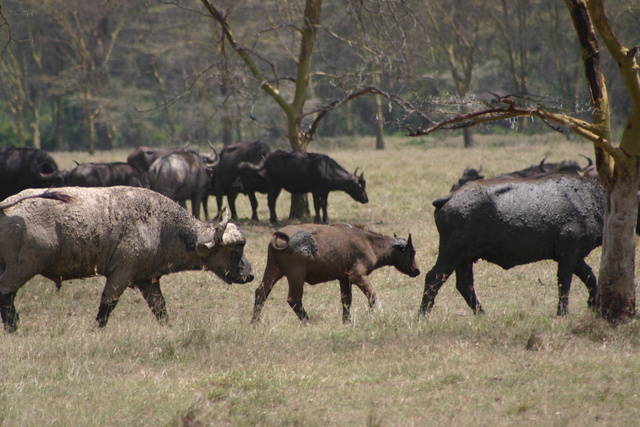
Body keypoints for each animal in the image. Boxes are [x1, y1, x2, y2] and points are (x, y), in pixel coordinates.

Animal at [0, 188, 255, 334]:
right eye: (235, 251)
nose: (250, 275)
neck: (162, 226)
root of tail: (7, 206)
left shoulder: (148, 280)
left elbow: (160, 308)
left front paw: (169, 329)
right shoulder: (121, 274)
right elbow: (107, 305)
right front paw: (97, 331)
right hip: (23, 268)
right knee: (5, 294)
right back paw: (13, 329)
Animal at [252, 224, 422, 324]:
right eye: (412, 252)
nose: (417, 270)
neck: (370, 242)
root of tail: (280, 234)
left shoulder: (344, 278)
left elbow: (346, 300)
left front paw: (347, 321)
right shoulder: (357, 276)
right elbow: (372, 296)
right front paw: (368, 316)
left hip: (273, 269)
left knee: (261, 292)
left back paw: (255, 322)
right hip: (296, 276)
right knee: (293, 299)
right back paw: (308, 321)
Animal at [420, 174, 604, 318]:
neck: (590, 199)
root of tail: (450, 197)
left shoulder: (576, 257)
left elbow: (591, 277)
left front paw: (593, 305)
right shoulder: (568, 253)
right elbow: (565, 283)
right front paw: (563, 313)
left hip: (465, 258)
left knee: (464, 285)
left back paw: (482, 314)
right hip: (452, 253)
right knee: (433, 277)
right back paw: (422, 315)